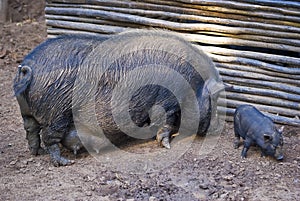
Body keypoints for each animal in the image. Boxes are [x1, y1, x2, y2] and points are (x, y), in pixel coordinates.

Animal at [14, 29, 225, 166]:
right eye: (214, 100)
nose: (217, 128)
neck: (194, 84)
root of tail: (27, 68)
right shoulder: (167, 101)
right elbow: (166, 122)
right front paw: (166, 146)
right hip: (56, 113)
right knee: (48, 136)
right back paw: (64, 162)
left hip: (27, 112)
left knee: (31, 130)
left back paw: (37, 152)